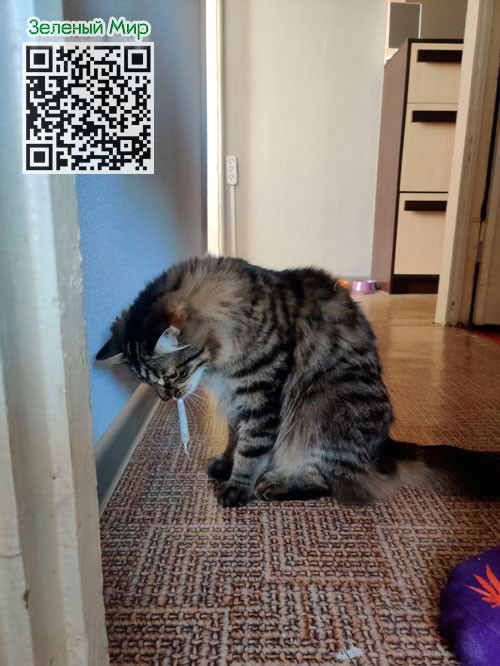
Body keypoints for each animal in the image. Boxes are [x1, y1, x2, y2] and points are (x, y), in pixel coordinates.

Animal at [97, 256, 500, 507]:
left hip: (324, 403)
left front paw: (238, 485)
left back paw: (273, 485)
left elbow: (252, 447)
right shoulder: (238, 401)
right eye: (148, 384)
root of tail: (382, 446)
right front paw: (225, 464)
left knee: (328, 484)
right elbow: (234, 438)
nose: (167, 397)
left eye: (172, 375)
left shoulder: (261, 393)